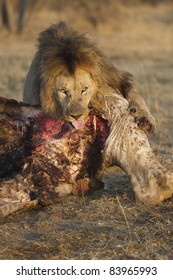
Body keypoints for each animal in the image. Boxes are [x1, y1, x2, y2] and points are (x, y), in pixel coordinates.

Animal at [23, 21, 155, 133]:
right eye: (63, 91)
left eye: (84, 89)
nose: (76, 116)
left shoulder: (114, 76)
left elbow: (135, 94)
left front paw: (146, 119)